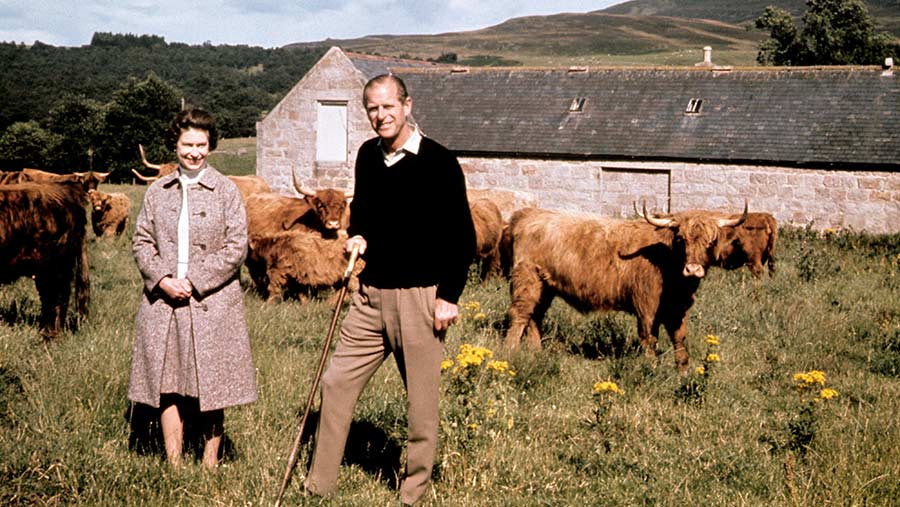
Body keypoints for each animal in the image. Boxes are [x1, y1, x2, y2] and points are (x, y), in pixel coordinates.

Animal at [506, 203, 744, 374]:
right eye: (681, 239)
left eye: (711, 242)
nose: (693, 269)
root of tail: (529, 214)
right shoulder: (646, 307)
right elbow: (649, 338)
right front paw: (652, 369)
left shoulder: (677, 308)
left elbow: (679, 338)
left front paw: (683, 372)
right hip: (527, 279)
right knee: (520, 314)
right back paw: (510, 353)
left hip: (545, 287)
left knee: (534, 316)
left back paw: (536, 352)